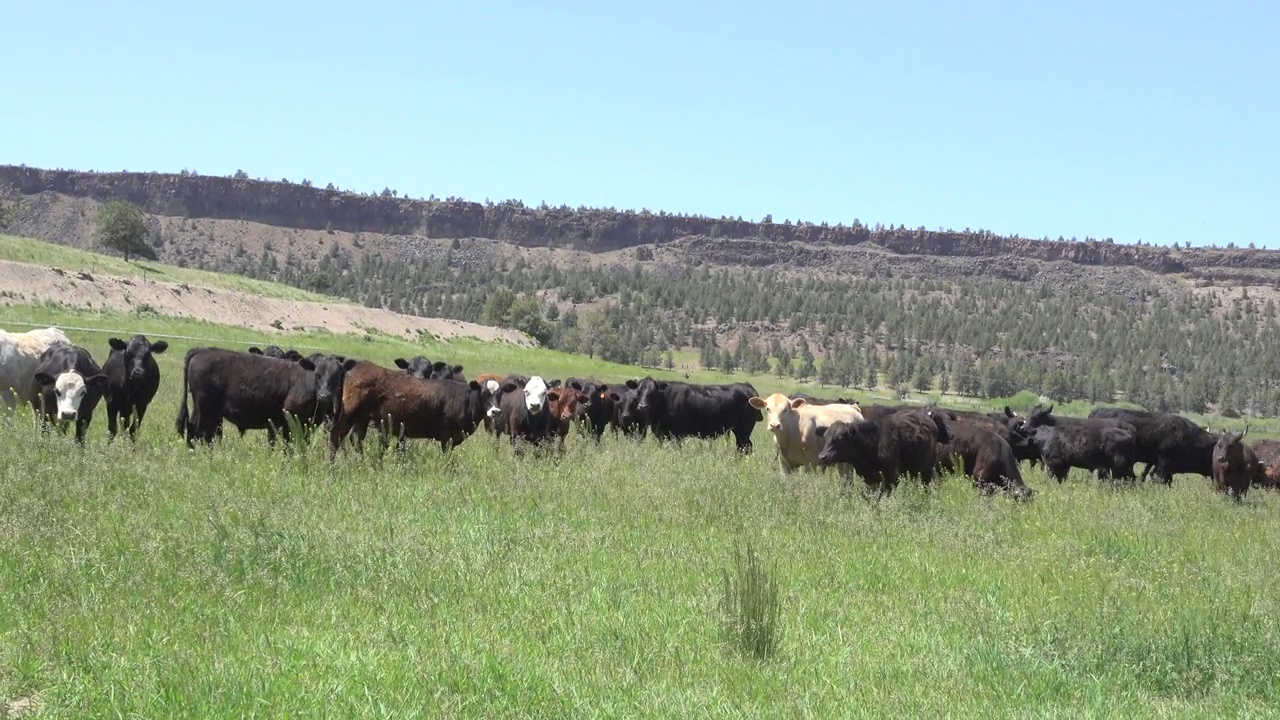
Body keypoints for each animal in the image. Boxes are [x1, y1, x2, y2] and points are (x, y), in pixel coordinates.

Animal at [175, 345, 355, 445]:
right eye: (317, 374)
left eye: (338, 375)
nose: (325, 395)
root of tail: (200, 351)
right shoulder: (289, 421)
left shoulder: (307, 425)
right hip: (206, 410)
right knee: (200, 432)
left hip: (202, 409)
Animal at [622, 379, 757, 450]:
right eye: (639, 391)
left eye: (653, 392)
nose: (642, 406)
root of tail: (746, 386)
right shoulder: (661, 434)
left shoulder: (677, 435)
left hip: (744, 429)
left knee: (745, 446)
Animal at [819, 407, 952, 497]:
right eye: (825, 437)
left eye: (839, 438)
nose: (822, 456)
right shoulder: (871, 478)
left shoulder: (892, 476)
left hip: (926, 469)